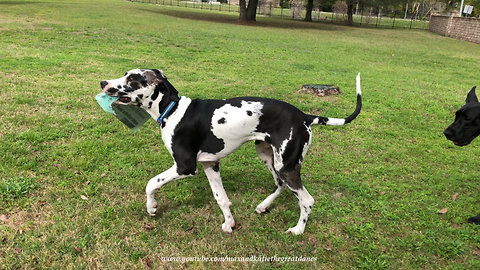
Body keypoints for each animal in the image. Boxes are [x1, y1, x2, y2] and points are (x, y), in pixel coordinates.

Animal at [102, 69, 364, 234]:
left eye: (132, 78)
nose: (103, 83)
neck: (172, 109)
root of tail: (305, 117)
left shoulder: (185, 167)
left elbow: (151, 183)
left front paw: (151, 207)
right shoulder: (210, 164)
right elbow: (221, 198)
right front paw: (230, 224)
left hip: (286, 166)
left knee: (307, 200)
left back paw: (298, 229)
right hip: (268, 157)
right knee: (280, 185)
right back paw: (264, 206)